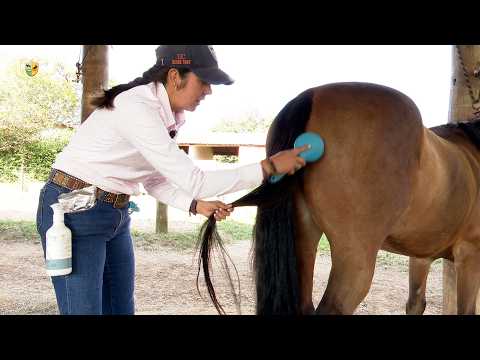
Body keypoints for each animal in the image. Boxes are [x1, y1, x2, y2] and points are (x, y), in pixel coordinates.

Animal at [195, 82, 480, 316]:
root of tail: (310, 96)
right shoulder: (469, 254)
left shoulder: (421, 257)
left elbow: (416, 304)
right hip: (356, 261)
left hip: (304, 241)